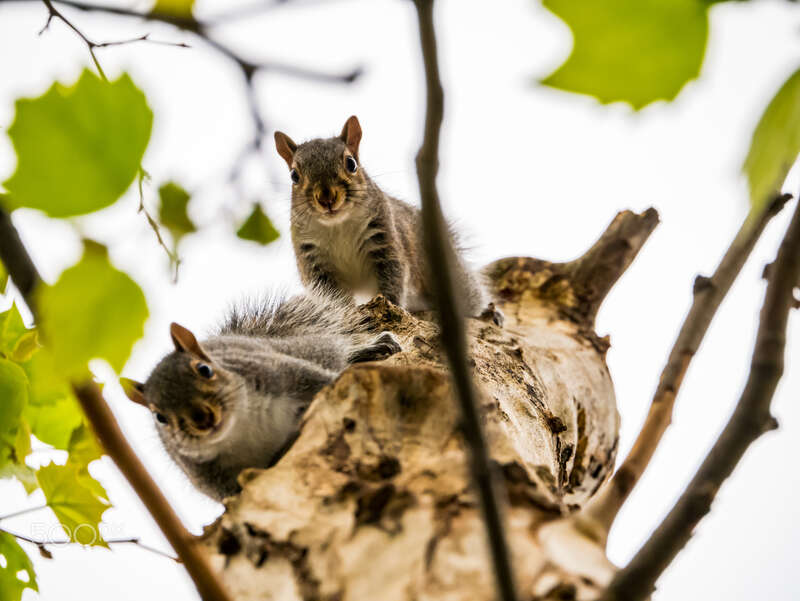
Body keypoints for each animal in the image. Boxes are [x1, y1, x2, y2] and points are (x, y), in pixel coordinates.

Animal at [121, 289, 401, 501]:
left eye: (205, 369)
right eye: (160, 417)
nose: (201, 418)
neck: (241, 425)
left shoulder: (281, 371)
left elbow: (327, 383)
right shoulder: (205, 474)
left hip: (310, 349)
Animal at [275, 115, 500, 322]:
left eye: (351, 163)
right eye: (294, 175)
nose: (326, 198)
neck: (337, 225)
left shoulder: (384, 239)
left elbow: (393, 279)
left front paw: (390, 305)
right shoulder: (313, 259)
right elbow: (331, 296)